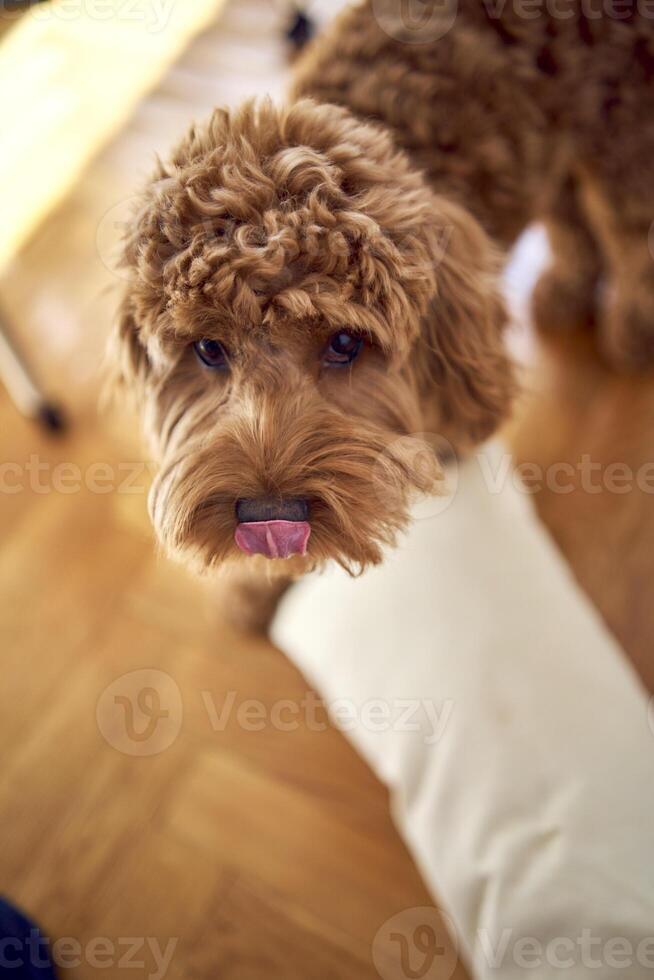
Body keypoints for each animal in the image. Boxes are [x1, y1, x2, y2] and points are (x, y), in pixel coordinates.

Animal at [111, 0, 654, 628]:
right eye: (208, 350)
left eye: (346, 344)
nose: (270, 516)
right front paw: (253, 590)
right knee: (568, 207)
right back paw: (568, 287)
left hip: (623, 128)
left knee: (630, 226)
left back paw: (634, 327)